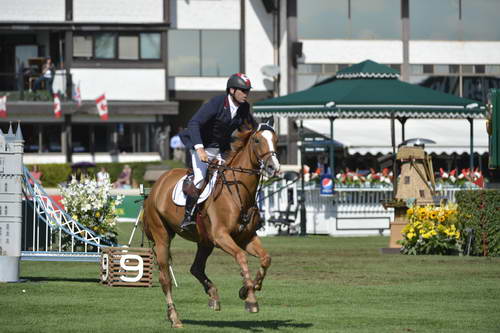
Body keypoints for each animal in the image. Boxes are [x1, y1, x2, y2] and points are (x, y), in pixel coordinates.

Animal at [143, 117, 280, 326]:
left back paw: (213, 295)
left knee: (196, 268)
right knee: (165, 278)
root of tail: (157, 184)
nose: (274, 168)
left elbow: (266, 258)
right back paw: (175, 317)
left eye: (275, 139)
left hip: (205, 241)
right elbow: (241, 257)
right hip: (162, 237)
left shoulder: (246, 237)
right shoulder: (221, 236)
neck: (238, 191)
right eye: (257, 140)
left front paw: (248, 289)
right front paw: (250, 299)